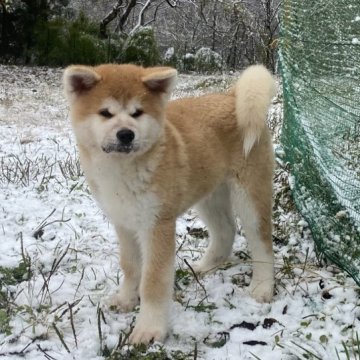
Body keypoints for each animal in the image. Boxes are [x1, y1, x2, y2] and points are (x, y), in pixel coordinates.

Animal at [62, 63, 276, 344]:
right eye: (106, 113)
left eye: (137, 113)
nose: (126, 134)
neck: (122, 171)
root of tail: (231, 97)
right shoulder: (125, 223)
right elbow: (130, 266)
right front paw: (126, 299)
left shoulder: (157, 224)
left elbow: (153, 281)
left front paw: (150, 329)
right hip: (209, 195)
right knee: (226, 231)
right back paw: (207, 266)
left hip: (249, 196)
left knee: (262, 243)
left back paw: (262, 287)